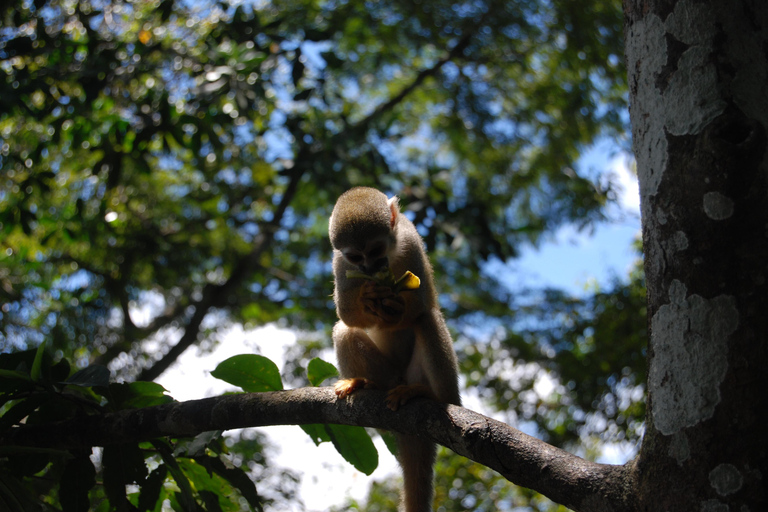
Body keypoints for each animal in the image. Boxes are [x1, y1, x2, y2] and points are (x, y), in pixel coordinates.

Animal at [328, 186, 460, 512]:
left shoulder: (411, 240)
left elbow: (419, 305)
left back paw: (435, 395)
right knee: (343, 330)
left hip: (416, 374)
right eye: (355, 256)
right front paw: (369, 299)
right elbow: (347, 315)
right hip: (390, 374)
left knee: (427, 318)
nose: (369, 268)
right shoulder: (340, 261)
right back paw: (365, 383)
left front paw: (393, 308)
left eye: (375, 251)